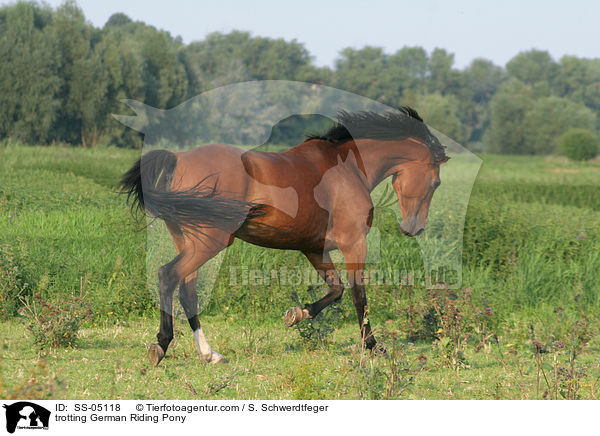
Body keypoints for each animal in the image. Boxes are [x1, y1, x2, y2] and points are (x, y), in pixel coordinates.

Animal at [120, 107, 450, 366]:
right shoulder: (354, 244)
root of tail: (178, 158)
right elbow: (359, 296)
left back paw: (209, 354)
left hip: (190, 240)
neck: (350, 170)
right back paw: (161, 346)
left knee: (187, 291)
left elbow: (337, 290)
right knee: (168, 276)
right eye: (436, 182)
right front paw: (373, 347)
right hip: (209, 242)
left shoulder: (315, 249)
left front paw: (298, 314)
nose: (414, 228)